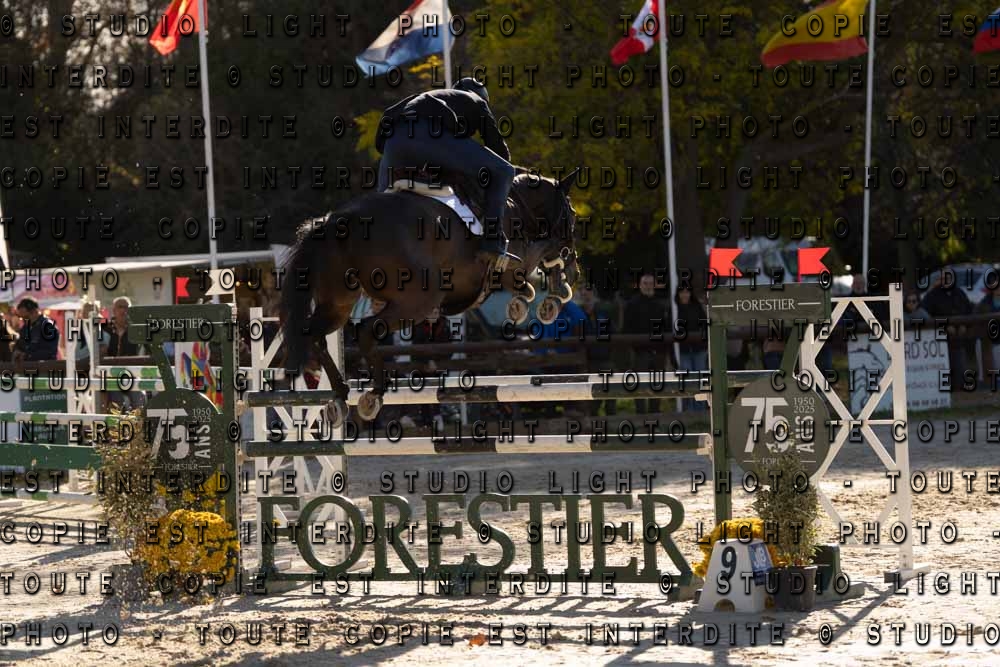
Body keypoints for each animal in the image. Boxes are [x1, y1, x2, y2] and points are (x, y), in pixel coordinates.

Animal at [278, 167, 581, 424]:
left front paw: (530, 302)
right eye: (572, 215)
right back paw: (374, 394)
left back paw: (340, 397)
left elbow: (533, 275)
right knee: (365, 331)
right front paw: (552, 297)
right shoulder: (514, 264)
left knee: (314, 336)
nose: (576, 271)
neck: (517, 206)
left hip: (338, 305)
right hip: (418, 302)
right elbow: (544, 251)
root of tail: (337, 221)